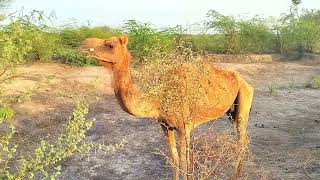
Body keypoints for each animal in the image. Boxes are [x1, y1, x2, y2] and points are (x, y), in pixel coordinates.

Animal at [80, 35, 255, 180]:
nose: (84, 44)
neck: (159, 99)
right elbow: (175, 159)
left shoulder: (184, 127)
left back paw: (236, 175)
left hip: (243, 98)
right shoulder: (166, 126)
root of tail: (245, 81)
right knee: (244, 137)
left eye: (110, 44)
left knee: (241, 139)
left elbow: (185, 163)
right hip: (231, 112)